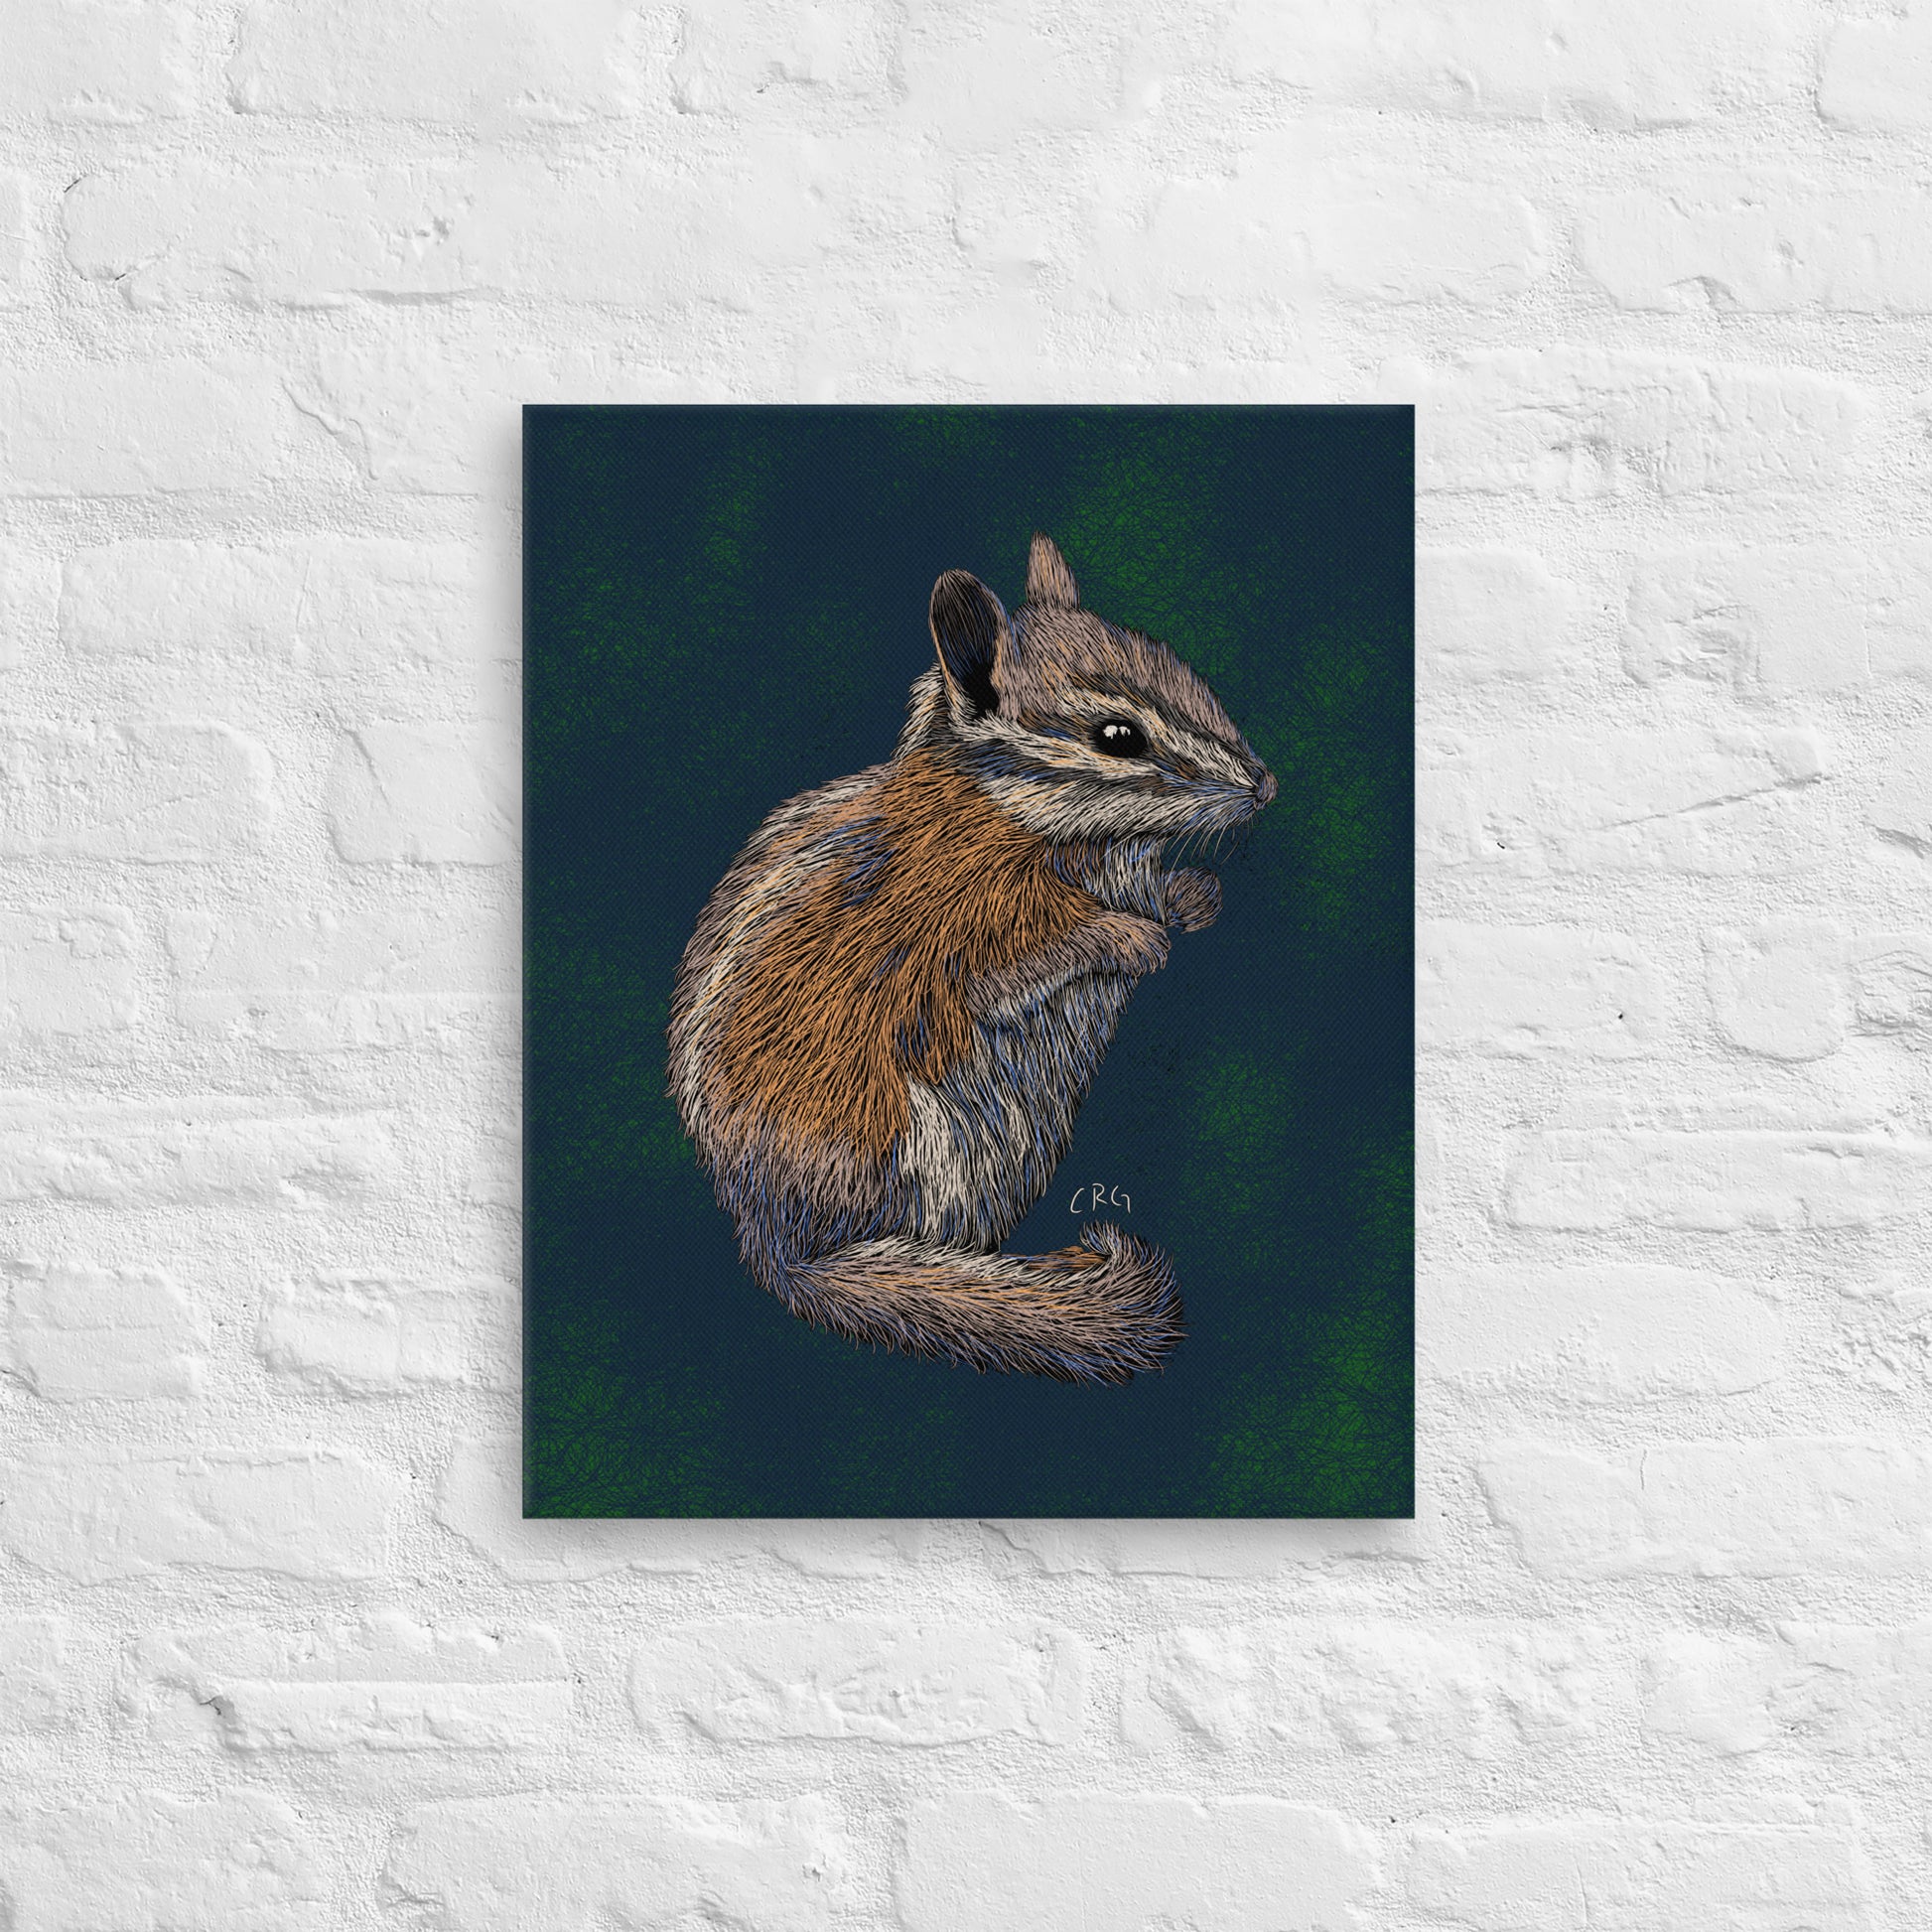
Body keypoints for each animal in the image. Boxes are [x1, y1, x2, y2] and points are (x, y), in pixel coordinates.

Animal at [666, 533, 1276, 1385]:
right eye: (1118, 736)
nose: (1266, 784)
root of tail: (781, 1245)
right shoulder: (963, 937)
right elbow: (1015, 970)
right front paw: (1132, 937)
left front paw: (1192, 898)